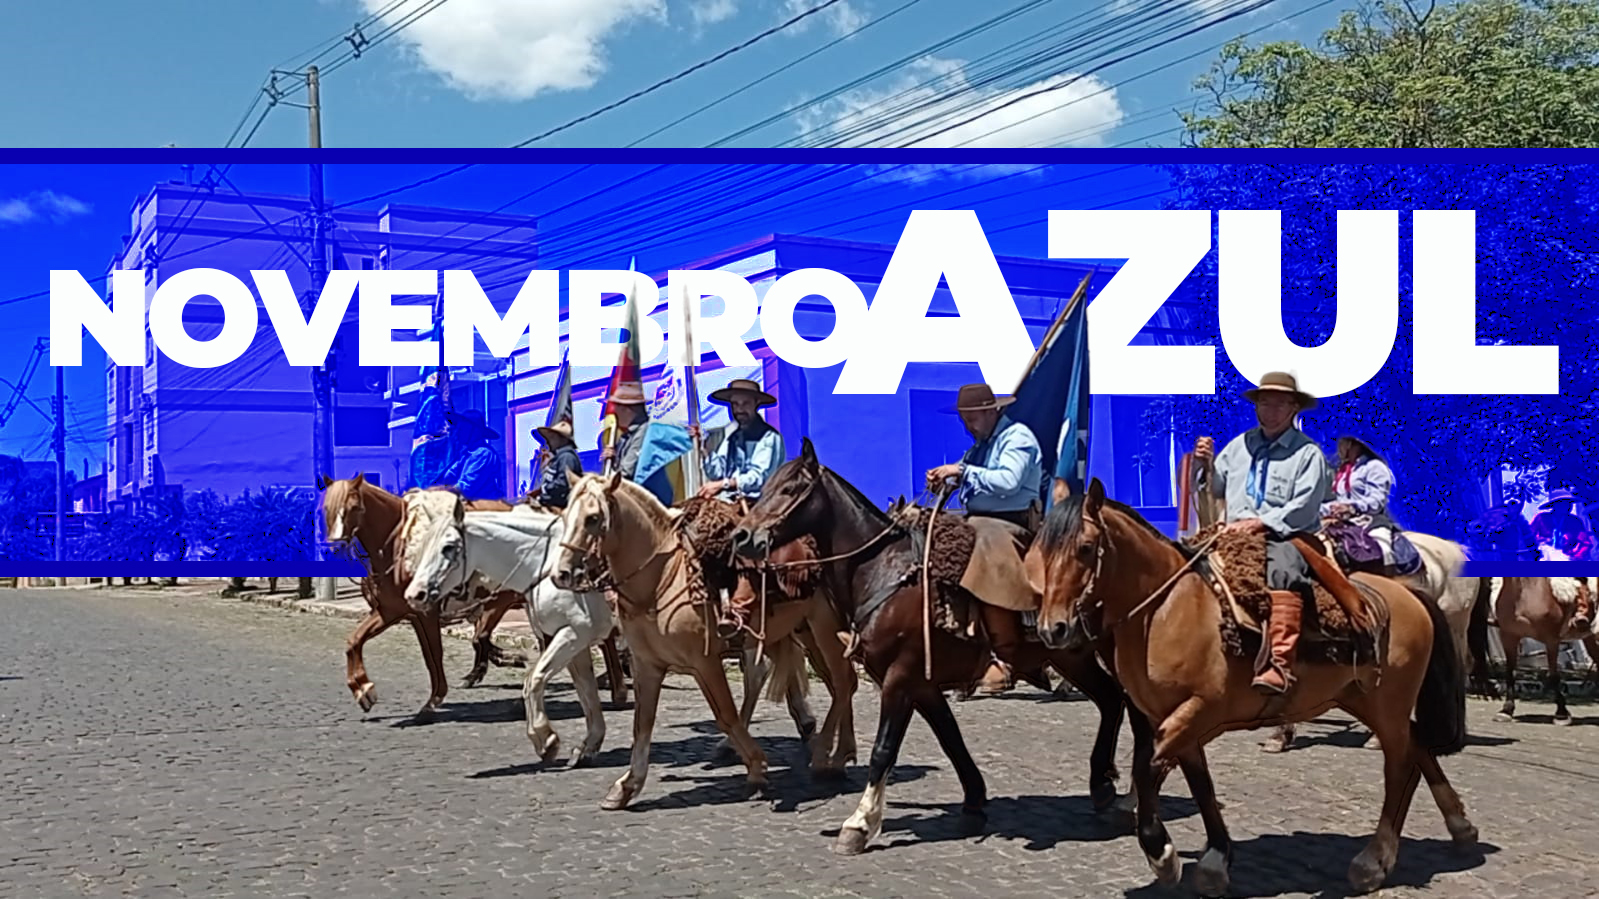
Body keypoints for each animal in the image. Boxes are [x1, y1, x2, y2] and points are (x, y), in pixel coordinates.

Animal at [732, 438, 1132, 851]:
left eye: (790, 488)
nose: (742, 536)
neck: (885, 572)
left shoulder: (900, 678)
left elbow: (884, 749)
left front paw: (859, 823)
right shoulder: (922, 684)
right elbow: (950, 738)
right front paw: (973, 802)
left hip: (1077, 654)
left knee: (1117, 699)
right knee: (1113, 699)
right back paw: (1106, 785)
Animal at [1036, 476, 1471, 889]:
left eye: (1086, 547)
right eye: (1040, 548)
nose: (1051, 628)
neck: (1166, 610)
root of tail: (1410, 595)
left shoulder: (1197, 710)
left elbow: (1148, 768)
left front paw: (1162, 855)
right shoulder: (1176, 720)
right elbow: (1200, 783)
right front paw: (1215, 859)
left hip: (1388, 705)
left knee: (1400, 766)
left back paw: (1373, 861)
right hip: (1364, 700)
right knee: (1417, 748)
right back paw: (1458, 825)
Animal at [1464, 572, 1599, 729]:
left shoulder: (1551, 640)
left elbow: (1554, 676)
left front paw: (1561, 714)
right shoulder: (1509, 636)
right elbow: (1510, 673)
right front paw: (1506, 710)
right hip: (1590, 639)